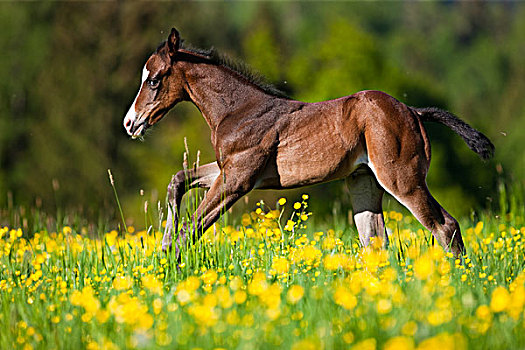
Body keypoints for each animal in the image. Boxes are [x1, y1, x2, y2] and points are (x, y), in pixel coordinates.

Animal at [125, 28, 494, 258]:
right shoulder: (226, 169)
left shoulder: (239, 178)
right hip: (364, 181)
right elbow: (178, 181)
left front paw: (169, 265)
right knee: (375, 240)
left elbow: (192, 227)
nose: (130, 123)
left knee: (445, 227)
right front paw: (163, 245)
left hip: (402, 179)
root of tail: (413, 111)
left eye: (154, 80)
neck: (238, 110)